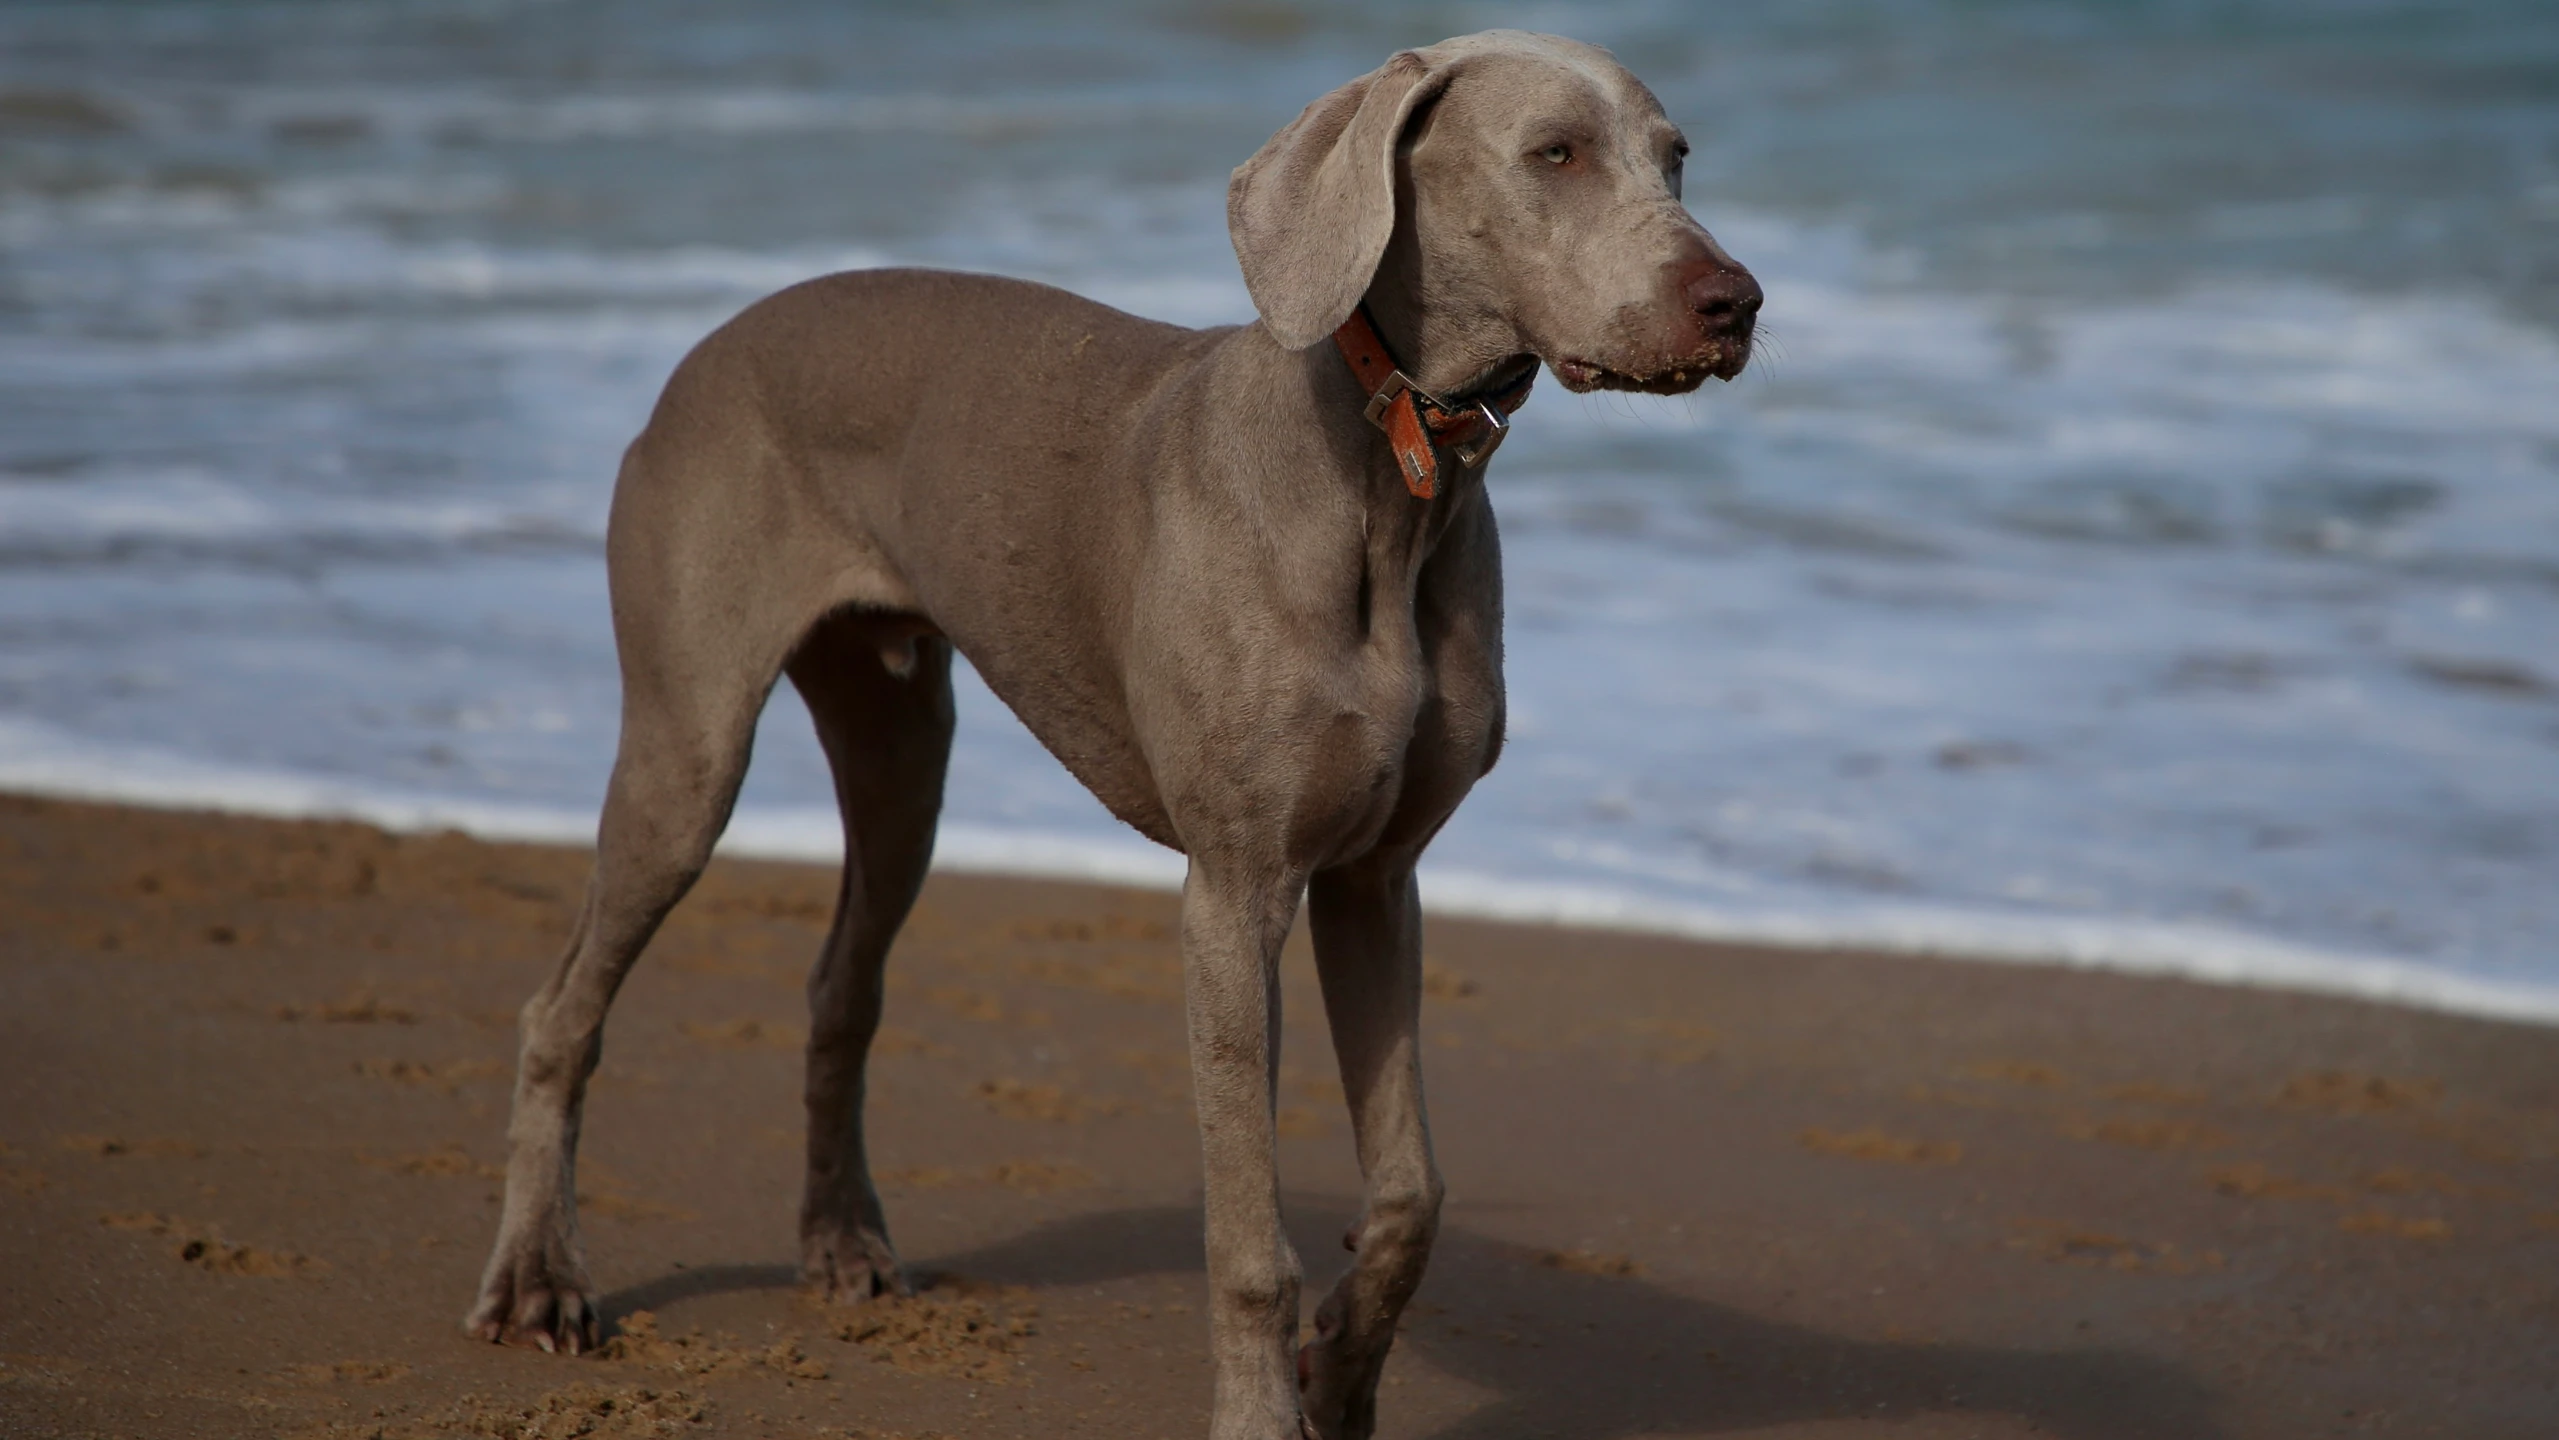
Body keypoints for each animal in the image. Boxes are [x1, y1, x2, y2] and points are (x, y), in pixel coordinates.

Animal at [470, 25, 1760, 1440]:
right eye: (1555, 154)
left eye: (1677, 157)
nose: (1737, 302)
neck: (1391, 480)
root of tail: (709, 343)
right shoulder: (1236, 892)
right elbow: (1249, 1241)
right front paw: (1263, 1412)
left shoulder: (1375, 881)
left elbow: (1411, 1198)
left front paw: (1340, 1375)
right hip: (688, 747)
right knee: (561, 1009)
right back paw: (539, 1281)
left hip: (900, 750)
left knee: (842, 985)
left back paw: (844, 1241)